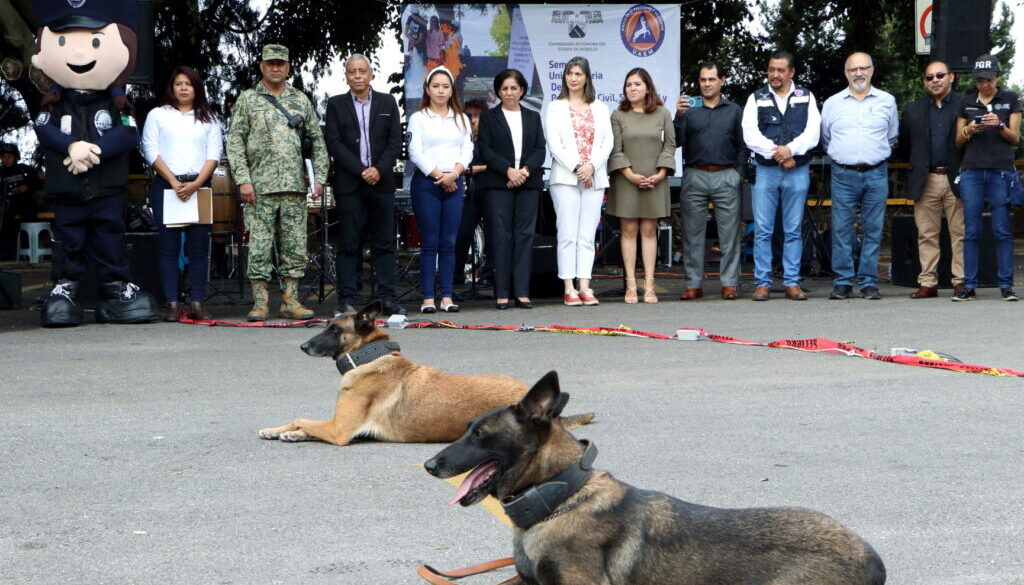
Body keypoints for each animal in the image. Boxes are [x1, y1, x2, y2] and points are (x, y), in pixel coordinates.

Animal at [256, 301, 593, 448]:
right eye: (326, 325)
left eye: (334, 329)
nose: (302, 346)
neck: (370, 357)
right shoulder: (337, 425)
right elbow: (301, 421)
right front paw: (278, 430)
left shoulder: (339, 431)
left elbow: (301, 418)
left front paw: (289, 431)